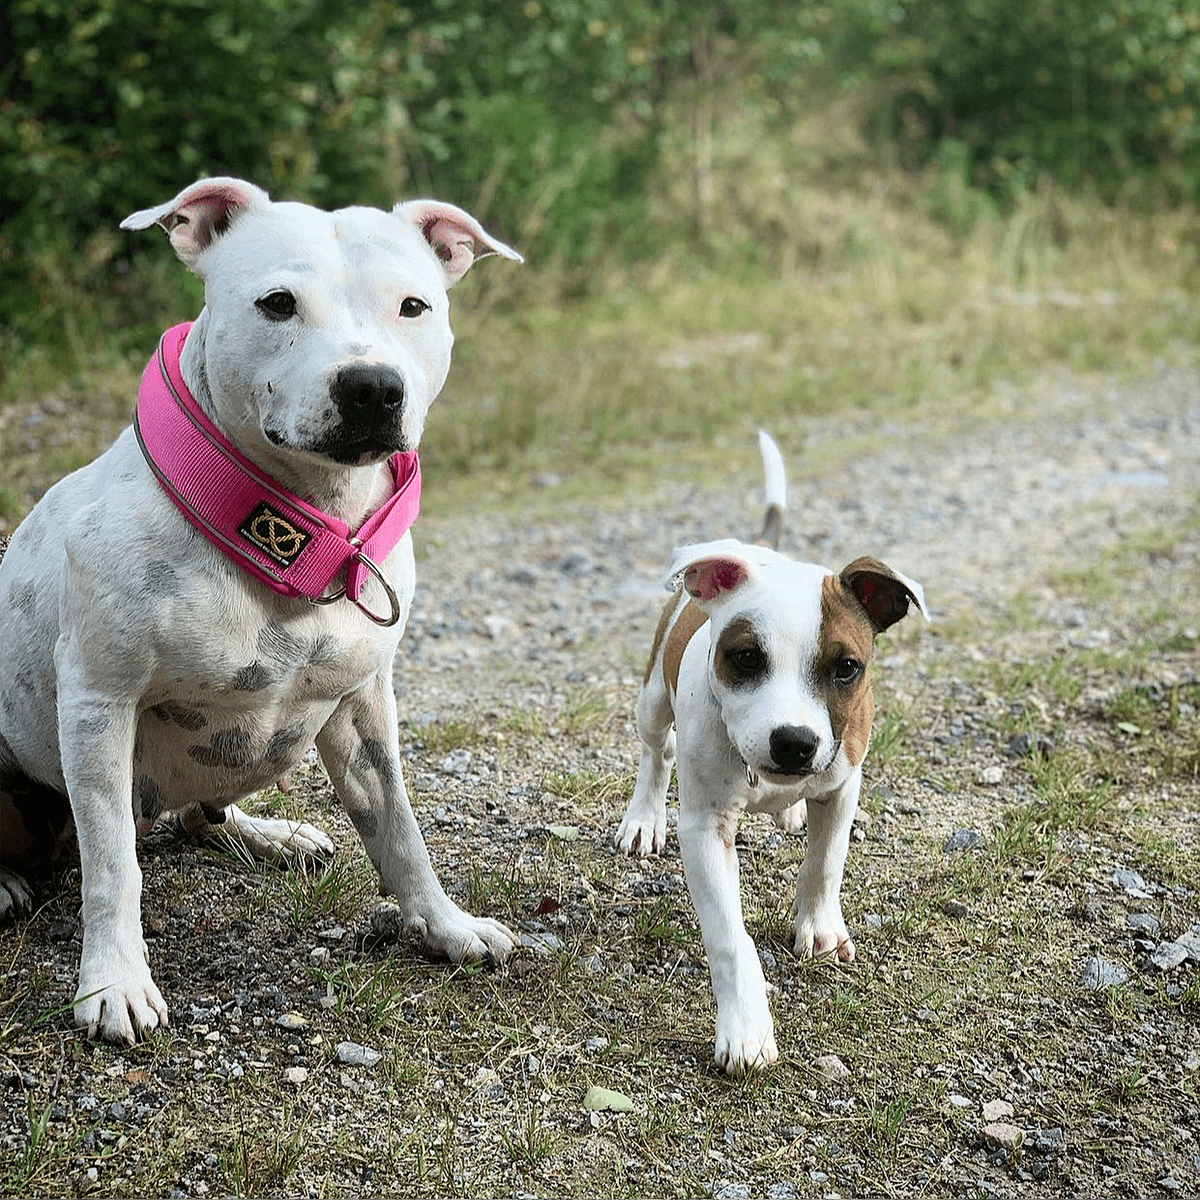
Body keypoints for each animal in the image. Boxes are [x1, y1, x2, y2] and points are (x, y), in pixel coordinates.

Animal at [2, 175, 523, 1041]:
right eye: (277, 304)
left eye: (414, 306)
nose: (372, 386)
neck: (289, 529)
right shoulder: (98, 707)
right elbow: (112, 863)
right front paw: (113, 981)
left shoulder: (363, 704)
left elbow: (400, 828)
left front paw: (443, 925)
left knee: (196, 811)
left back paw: (265, 833)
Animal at [619, 436, 926, 1075]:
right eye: (744, 658)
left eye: (846, 667)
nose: (793, 742)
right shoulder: (705, 828)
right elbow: (729, 938)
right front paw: (746, 1028)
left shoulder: (844, 782)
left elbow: (825, 861)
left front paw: (819, 926)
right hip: (652, 699)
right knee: (656, 753)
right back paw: (643, 819)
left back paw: (790, 811)